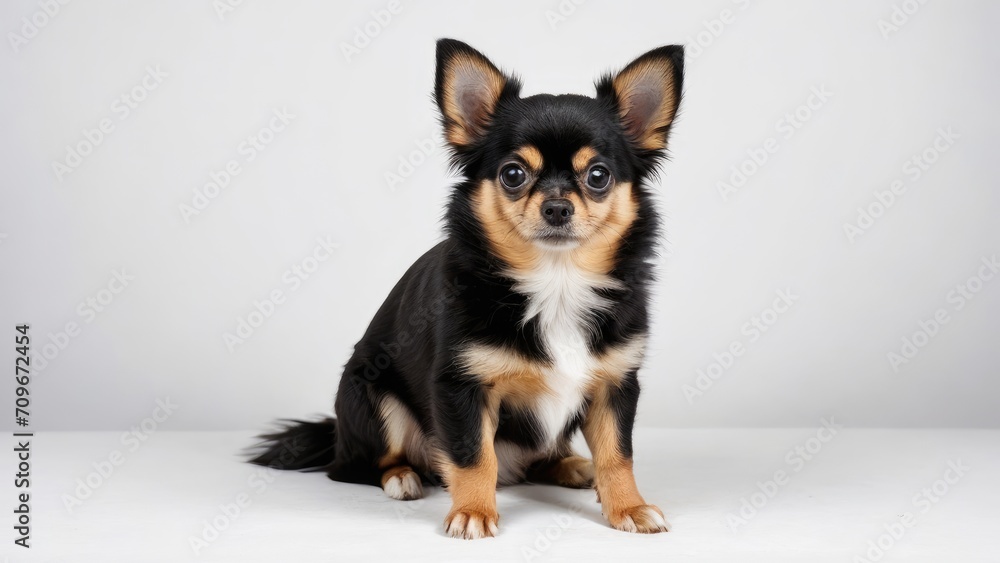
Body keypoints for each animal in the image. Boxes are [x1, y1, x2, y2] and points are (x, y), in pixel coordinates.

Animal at [250, 38, 684, 539]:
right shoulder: (462, 387)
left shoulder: (615, 384)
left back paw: (571, 465)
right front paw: (474, 512)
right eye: (513, 174)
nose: (557, 207)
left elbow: (618, 454)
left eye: (598, 176)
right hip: (373, 398)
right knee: (360, 466)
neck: (556, 280)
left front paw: (630, 507)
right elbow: (475, 455)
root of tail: (337, 434)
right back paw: (402, 477)